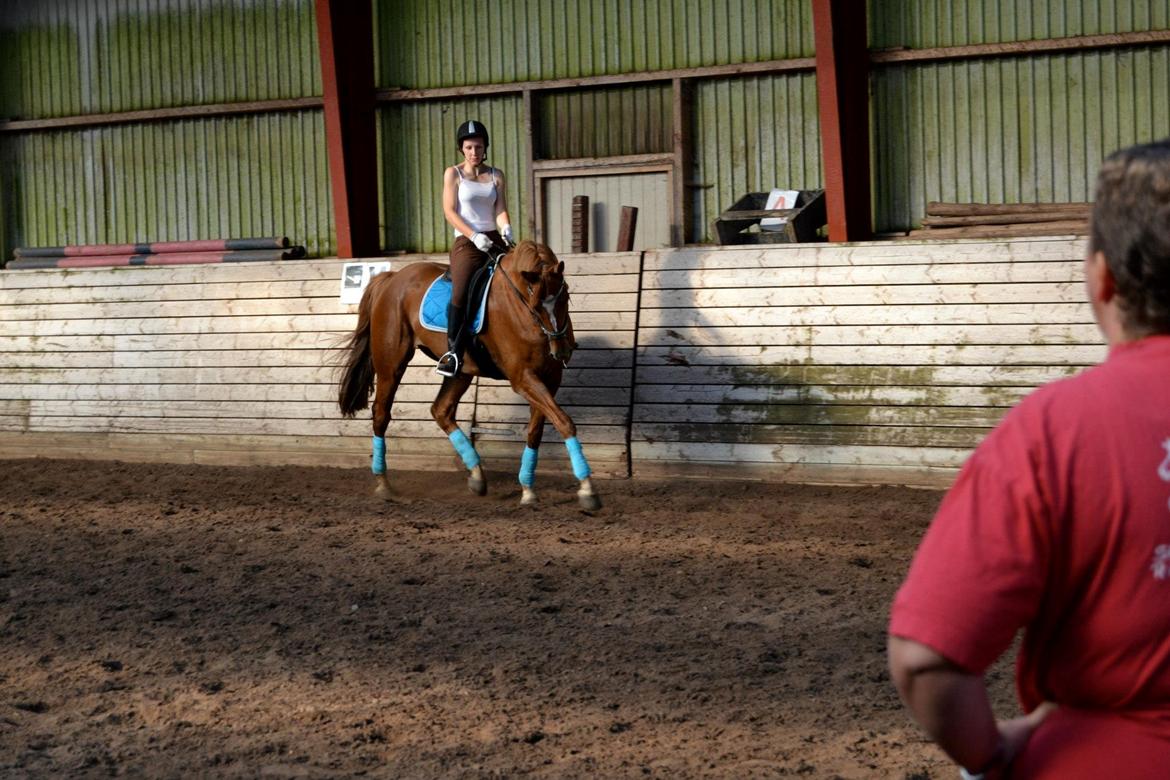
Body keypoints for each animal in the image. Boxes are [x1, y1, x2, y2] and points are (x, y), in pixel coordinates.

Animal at [332, 240, 599, 514]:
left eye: (565, 296)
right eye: (535, 305)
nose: (561, 350)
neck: (520, 307)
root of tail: (392, 278)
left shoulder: (549, 378)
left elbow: (538, 430)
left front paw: (528, 489)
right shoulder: (523, 378)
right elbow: (564, 422)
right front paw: (587, 489)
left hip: (460, 372)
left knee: (441, 410)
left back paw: (477, 476)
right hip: (391, 365)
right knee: (381, 414)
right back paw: (383, 483)